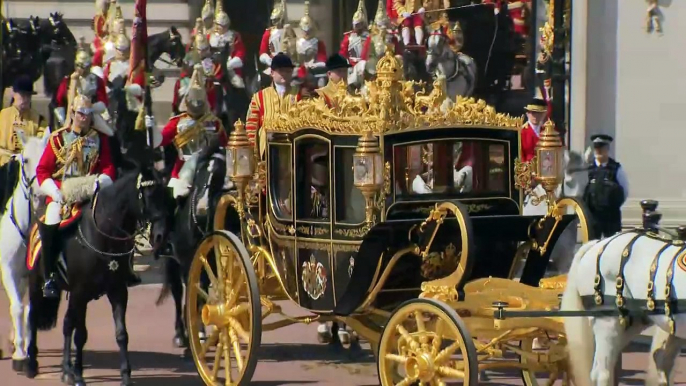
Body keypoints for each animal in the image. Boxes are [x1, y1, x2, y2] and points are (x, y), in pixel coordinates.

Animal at [25, 162, 171, 382]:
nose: (161, 236)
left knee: (67, 324)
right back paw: (32, 365)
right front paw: (79, 375)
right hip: (37, 284)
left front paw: (125, 376)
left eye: (165, 193)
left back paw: (66, 370)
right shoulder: (80, 293)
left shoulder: (117, 291)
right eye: (148, 193)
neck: (103, 235)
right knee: (33, 317)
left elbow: (121, 334)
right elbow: (81, 335)